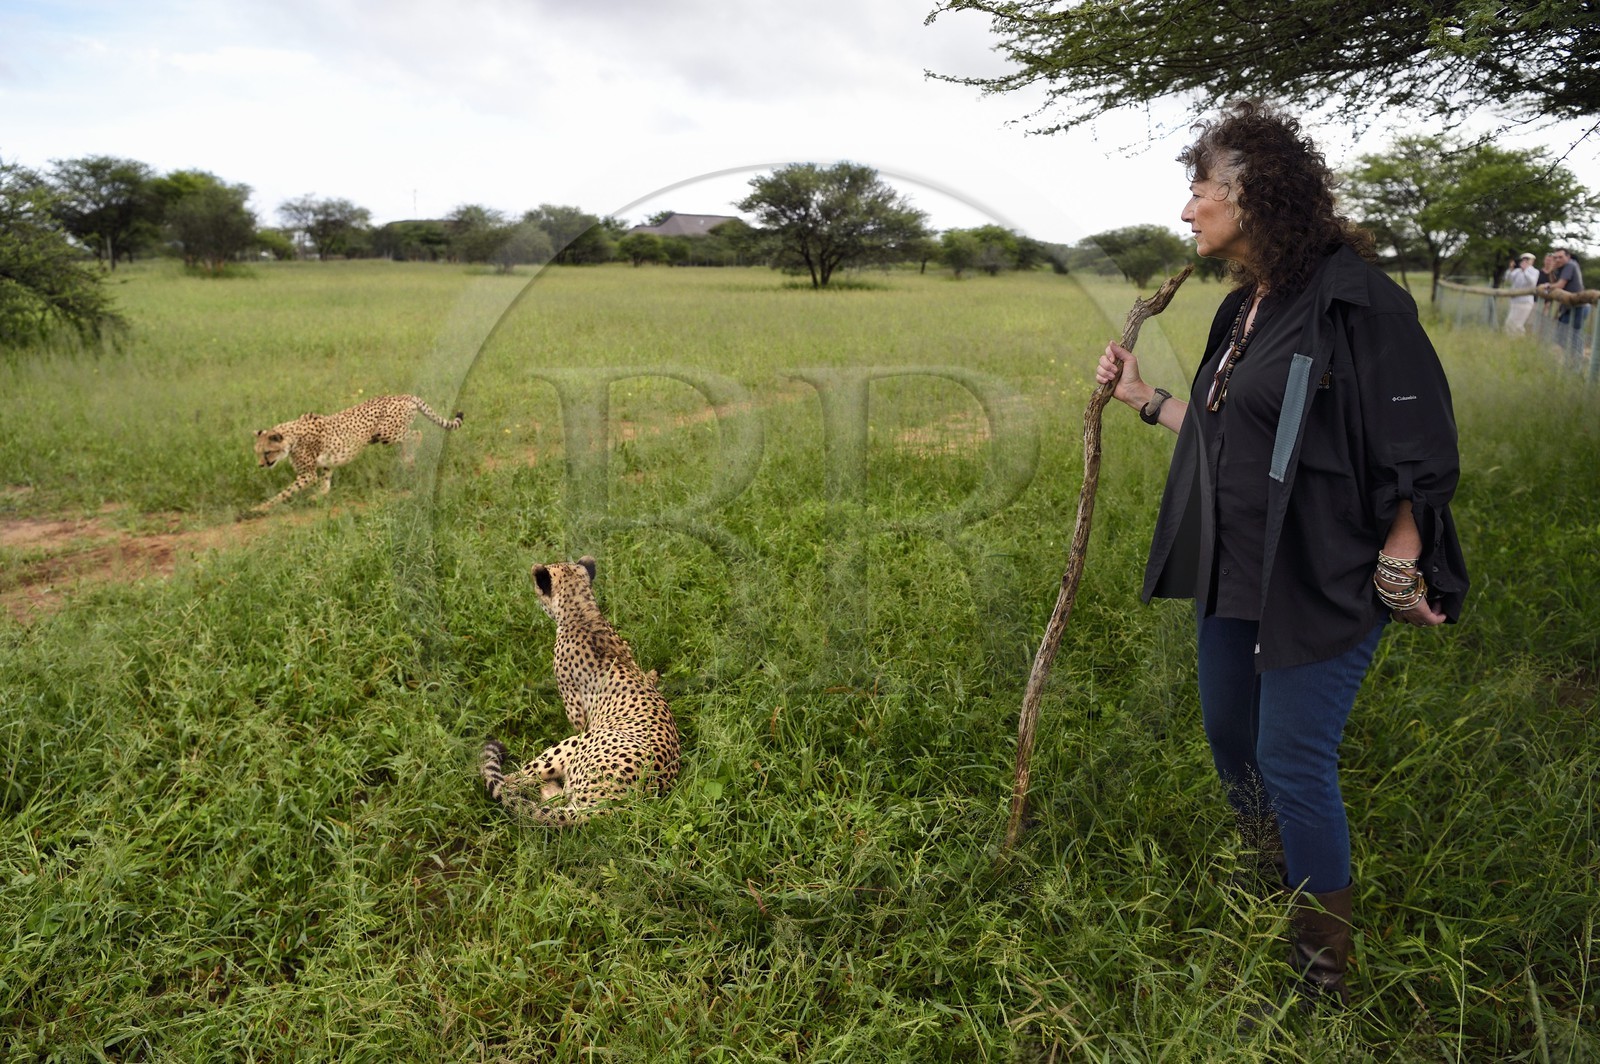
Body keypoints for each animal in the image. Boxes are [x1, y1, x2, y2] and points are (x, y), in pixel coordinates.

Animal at [252, 394, 463, 512]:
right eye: (257, 452)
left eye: (267, 452)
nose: (260, 465)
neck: (291, 437)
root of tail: (405, 395)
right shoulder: (327, 462)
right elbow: (325, 481)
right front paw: (320, 495)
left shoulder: (307, 475)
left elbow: (283, 493)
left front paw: (260, 508)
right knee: (411, 438)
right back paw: (406, 460)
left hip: (387, 433)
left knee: (417, 434)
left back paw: (408, 460)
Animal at [481, 556, 681, 828]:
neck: (584, 613)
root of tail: (611, 805)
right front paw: (653, 675)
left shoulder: (576, 711)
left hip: (575, 743)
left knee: (527, 783)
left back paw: (509, 780)